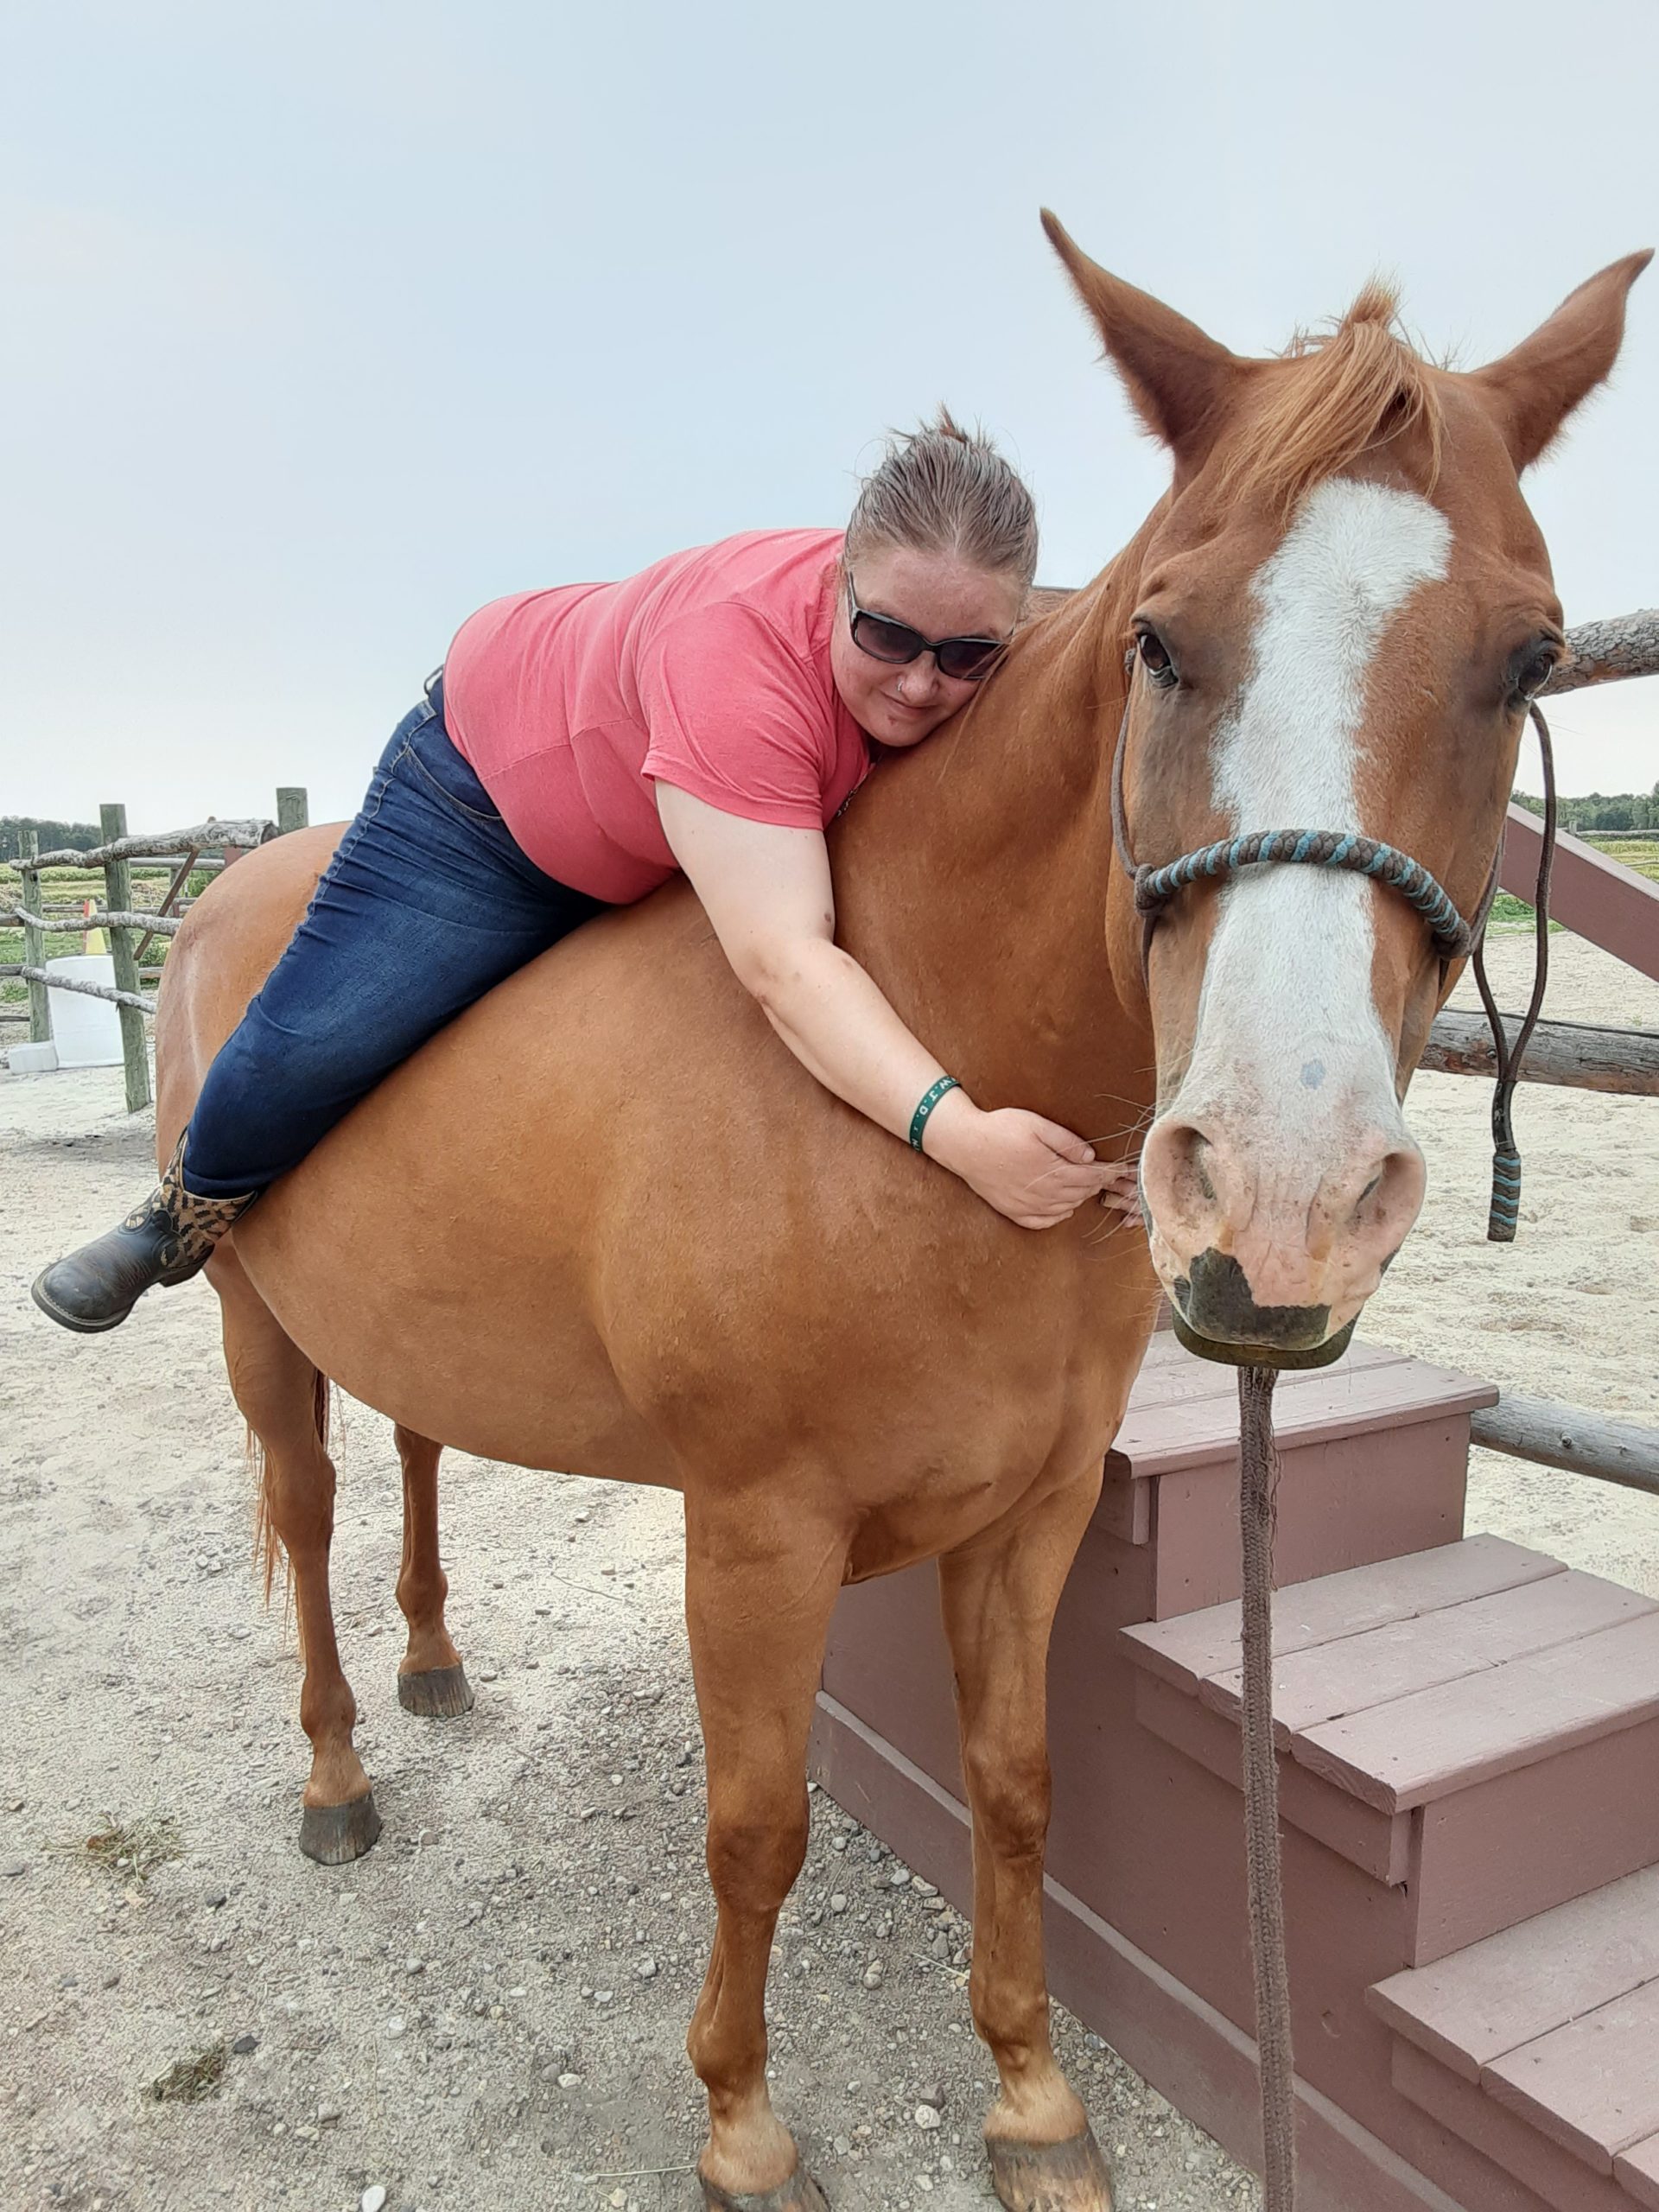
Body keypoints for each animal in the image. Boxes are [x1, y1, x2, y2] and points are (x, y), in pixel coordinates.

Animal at [149, 217, 1647, 2212]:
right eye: (1160, 639)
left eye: (1528, 655)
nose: (1286, 1190)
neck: (902, 1083)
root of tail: (239, 885)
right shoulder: (755, 1533)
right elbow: (757, 1826)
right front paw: (740, 2120)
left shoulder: (1030, 1511)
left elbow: (1018, 1788)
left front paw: (1033, 2097)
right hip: (254, 1315)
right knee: (306, 1508)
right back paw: (334, 1776)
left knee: (410, 1450)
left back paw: (435, 1662)